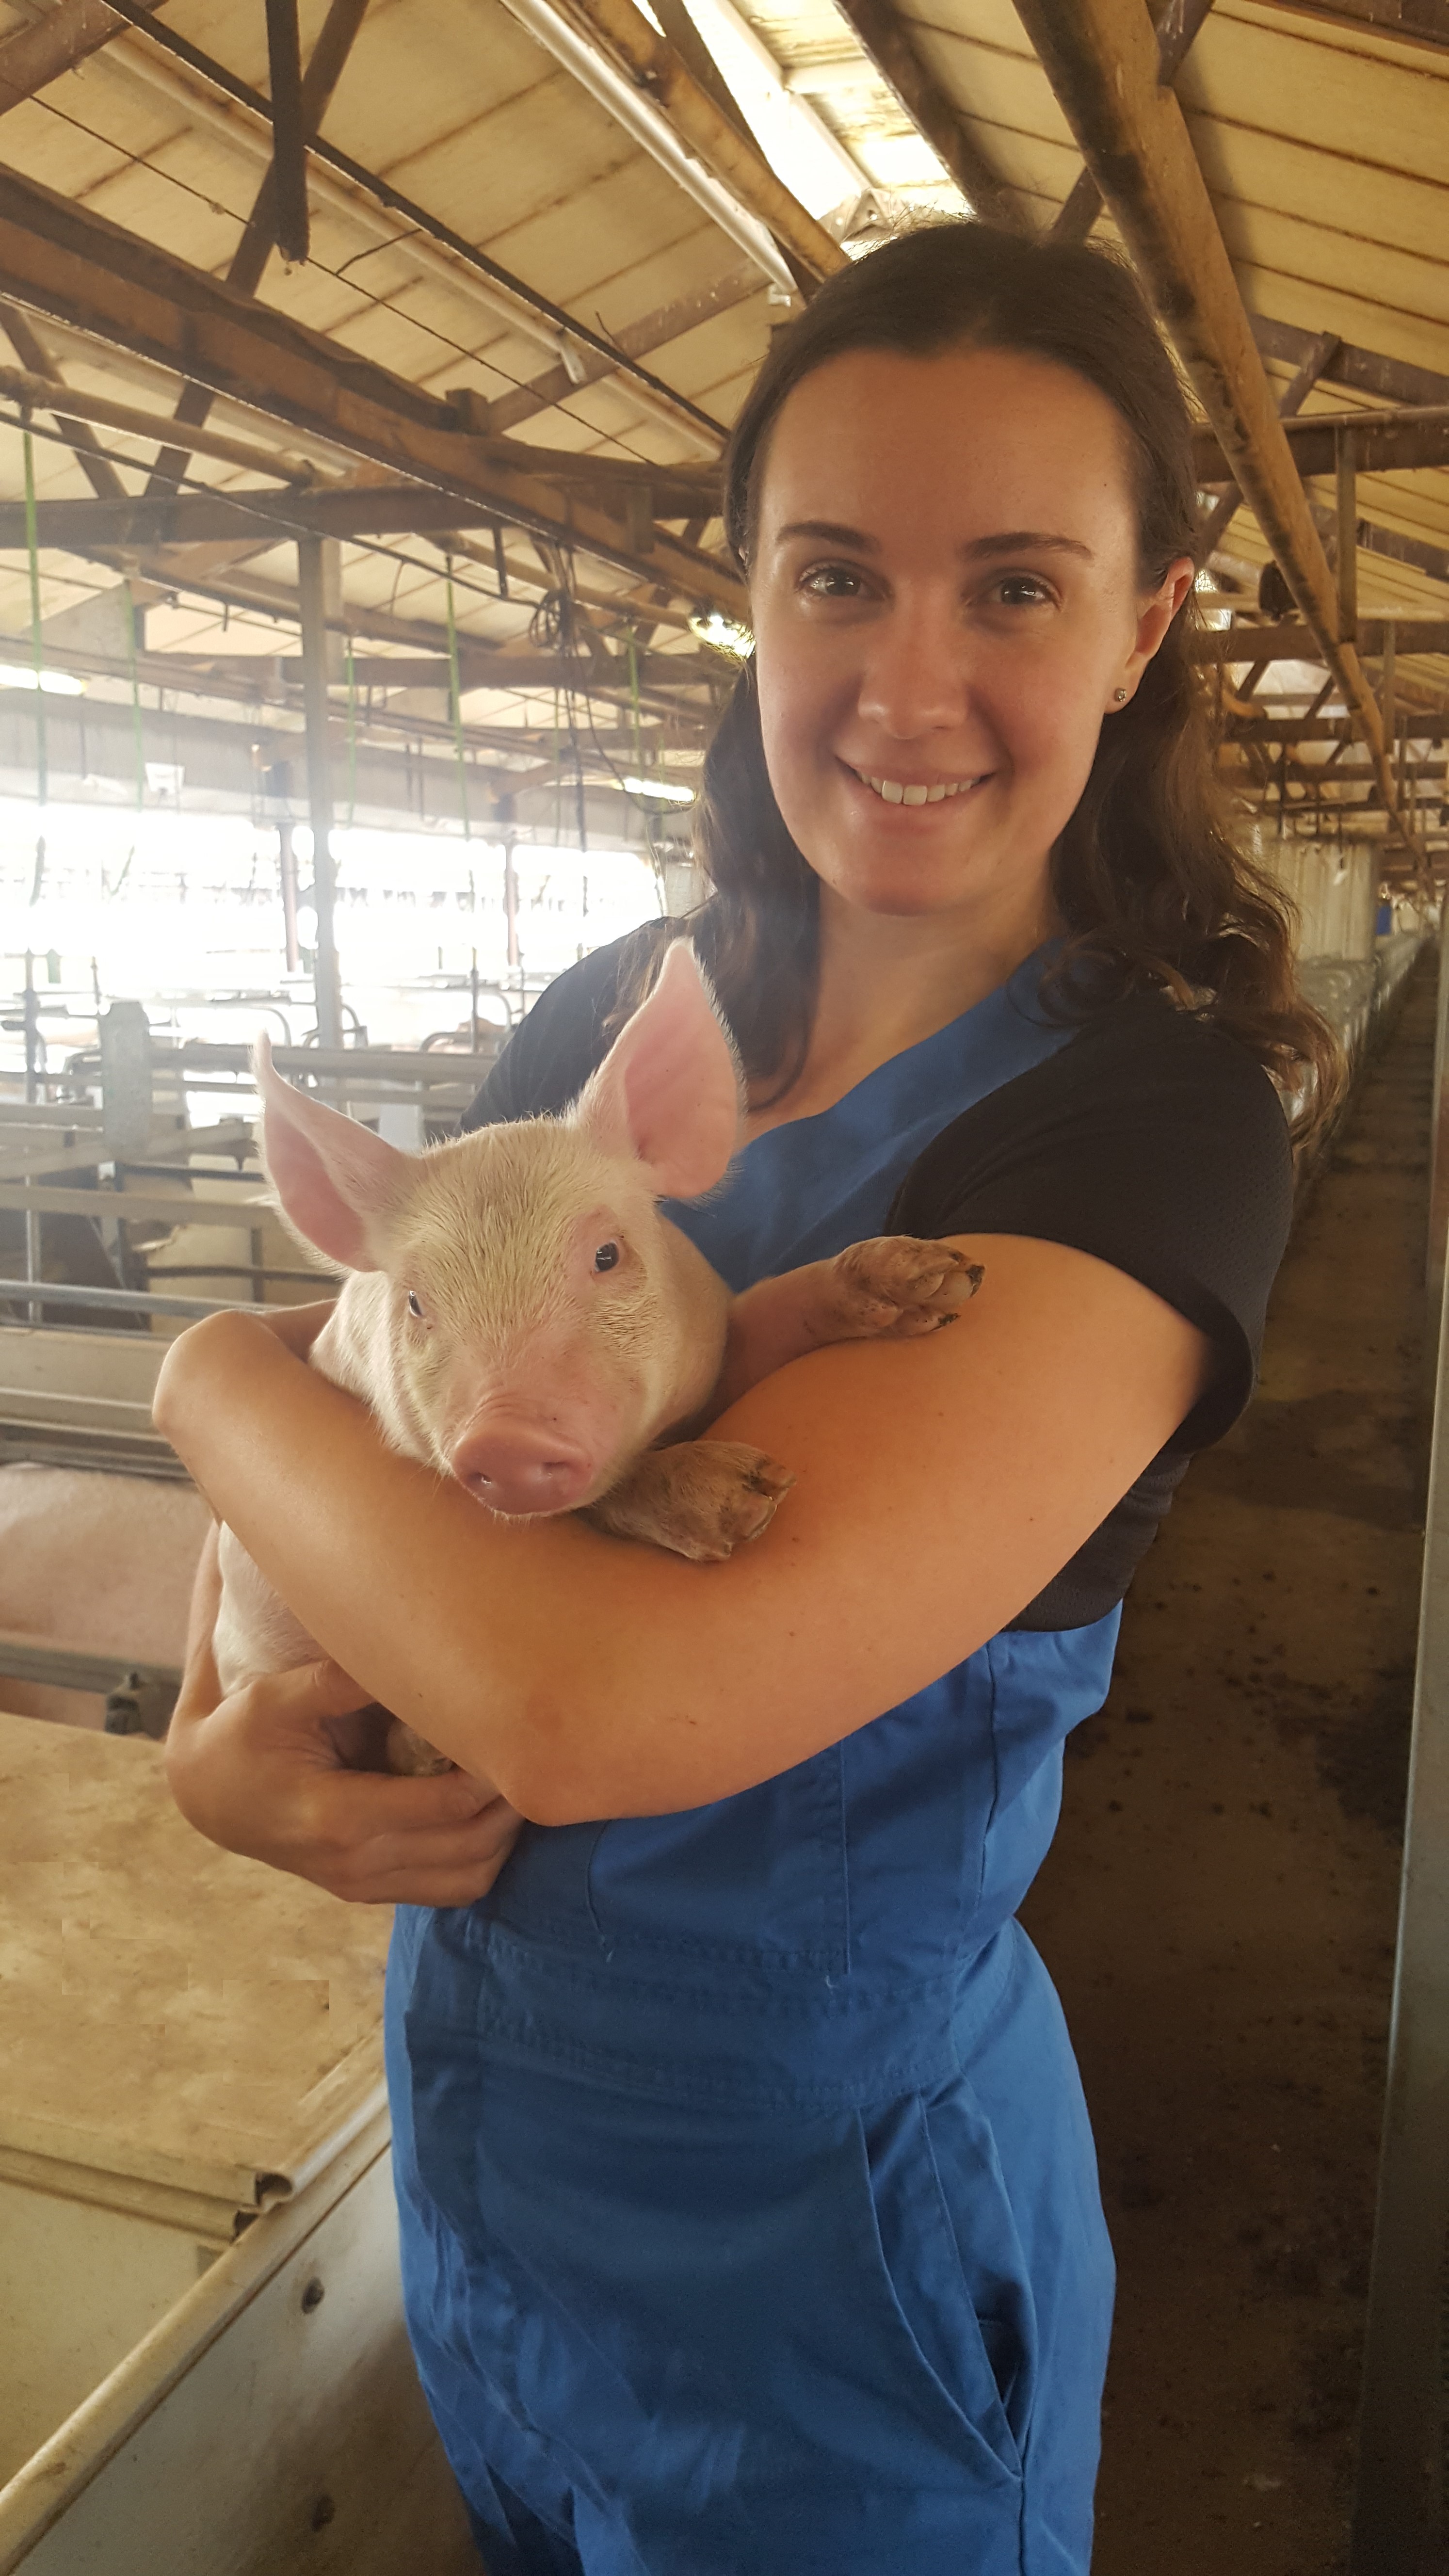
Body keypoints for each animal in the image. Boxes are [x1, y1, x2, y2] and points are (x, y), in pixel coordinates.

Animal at [211, 948, 980, 1772]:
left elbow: (770, 1317)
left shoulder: (717, 1342)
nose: (506, 1437)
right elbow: (606, 1495)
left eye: (608, 1255)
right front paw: (745, 1500)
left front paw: (942, 1279)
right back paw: (423, 1752)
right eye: (416, 1303)